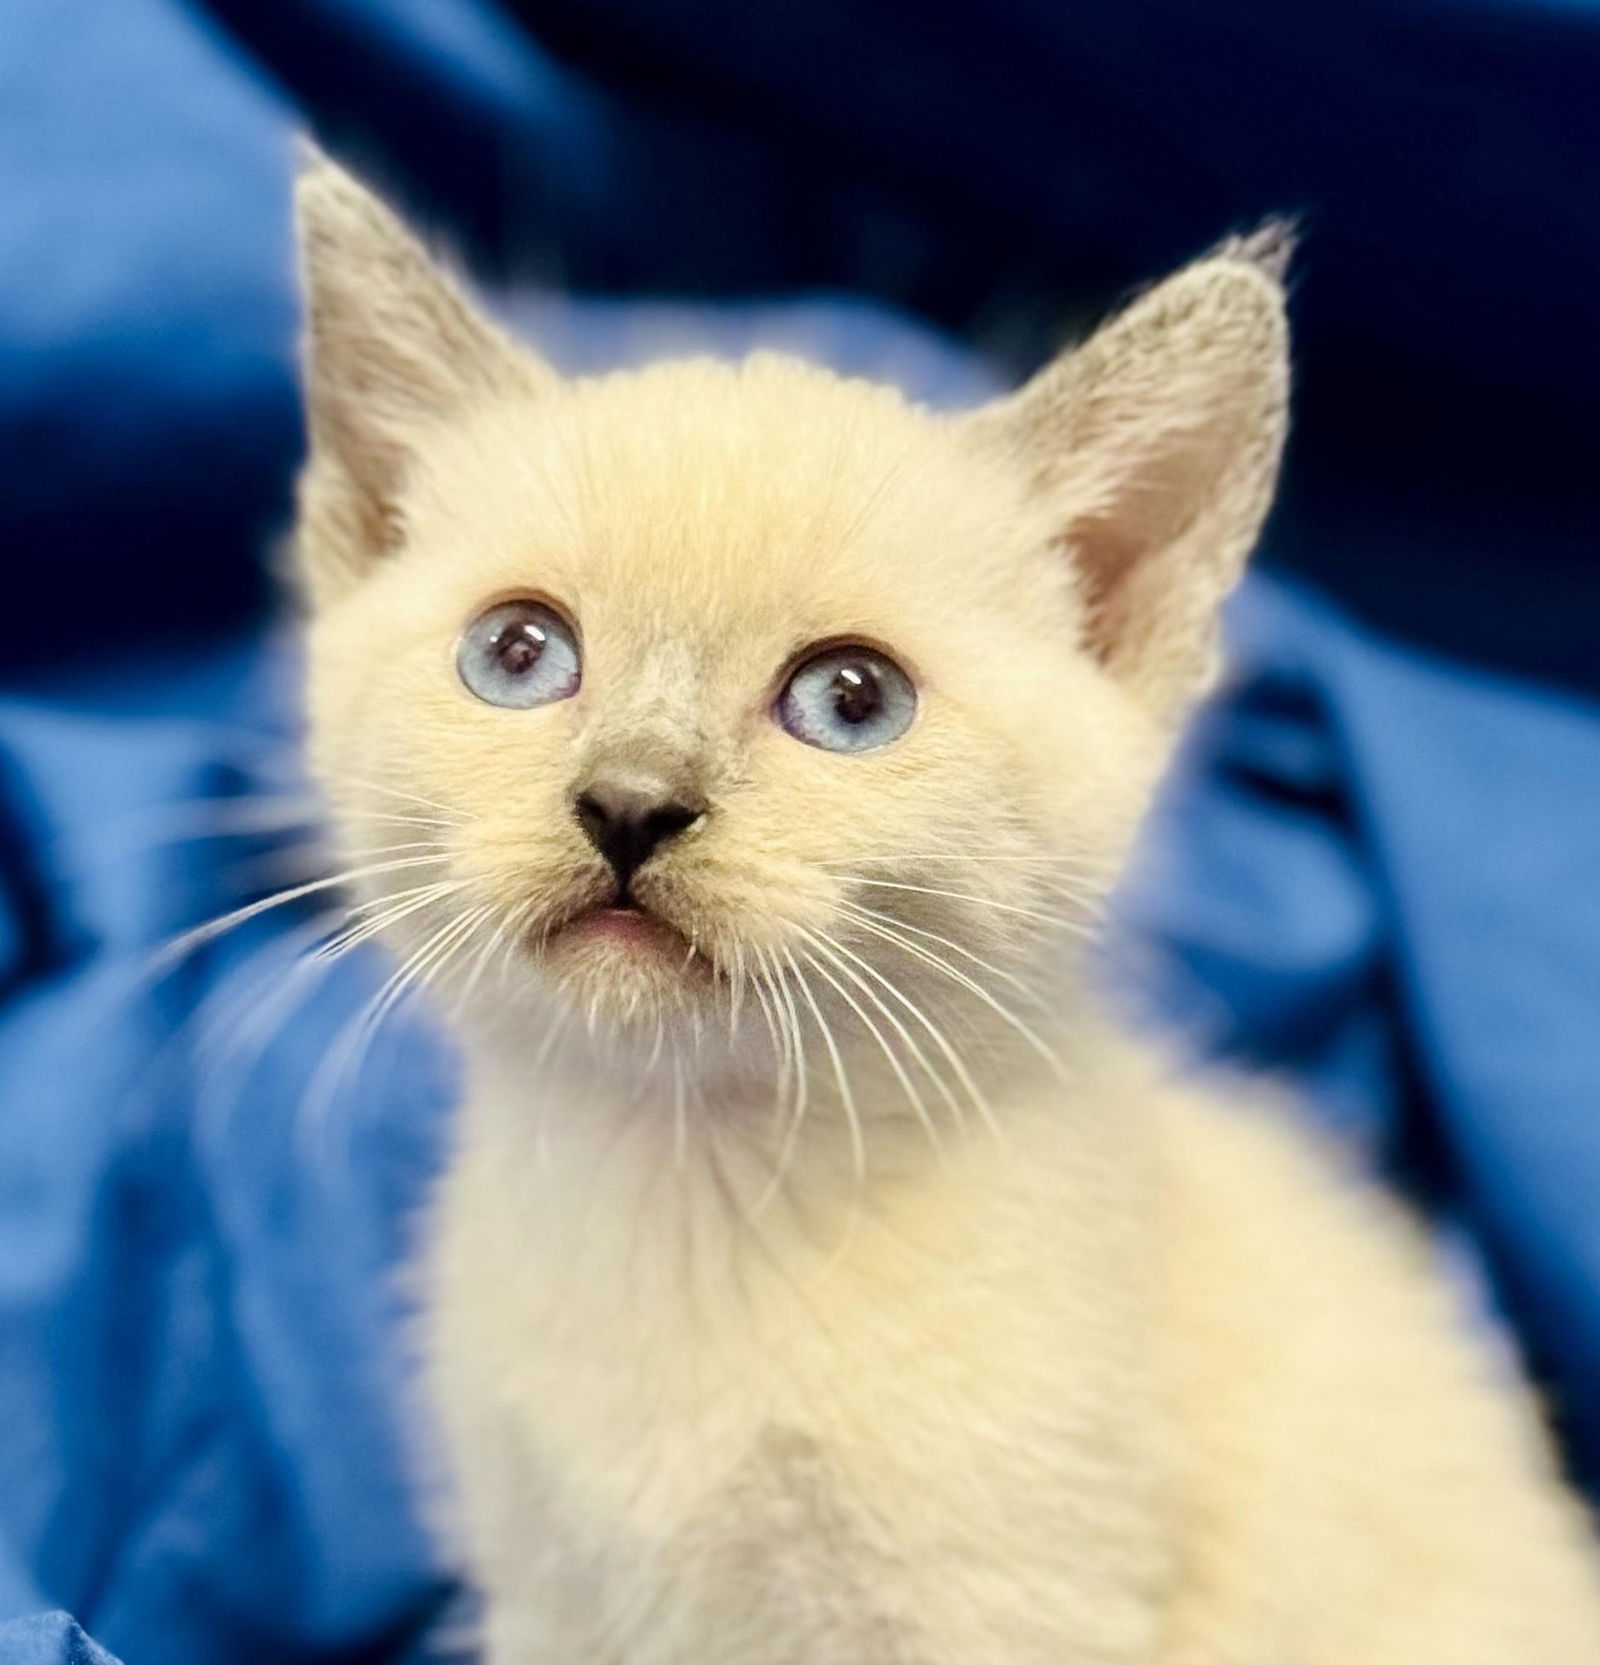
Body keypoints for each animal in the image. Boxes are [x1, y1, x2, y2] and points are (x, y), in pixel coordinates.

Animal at [289, 159, 1598, 1665]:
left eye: (851, 700)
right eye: (517, 653)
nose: (629, 803)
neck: (696, 1183)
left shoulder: (1014, 1603)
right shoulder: (553, 1603)